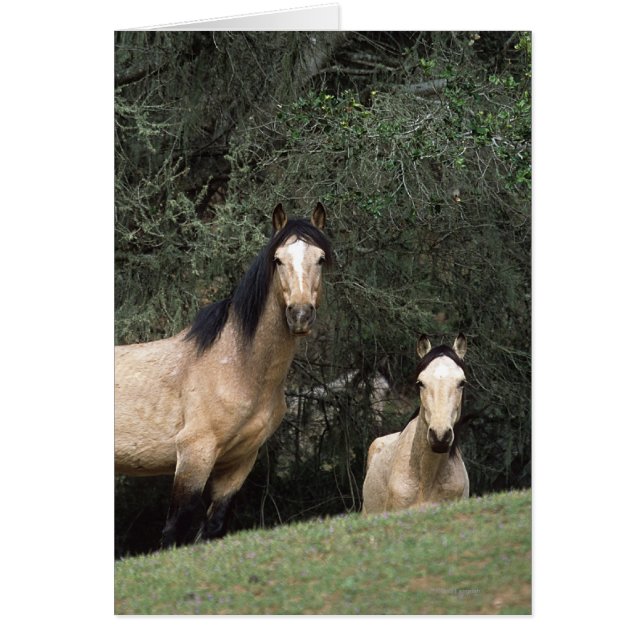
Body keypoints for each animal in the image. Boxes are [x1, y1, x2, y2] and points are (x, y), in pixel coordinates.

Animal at [115, 203, 332, 547]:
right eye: (278, 259)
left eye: (320, 258)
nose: (299, 314)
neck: (237, 367)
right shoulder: (195, 453)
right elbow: (174, 530)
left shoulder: (238, 462)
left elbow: (213, 527)